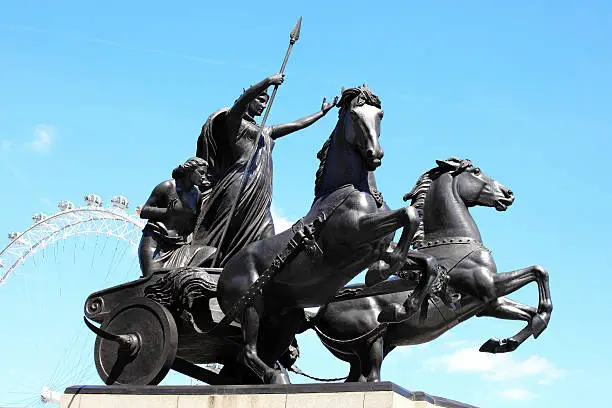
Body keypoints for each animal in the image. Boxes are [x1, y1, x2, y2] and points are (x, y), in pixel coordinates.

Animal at [214, 84, 420, 384]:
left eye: (379, 114)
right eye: (355, 115)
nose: (375, 154)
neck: (350, 189)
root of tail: (223, 274)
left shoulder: (378, 246)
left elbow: (424, 257)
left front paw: (402, 305)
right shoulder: (358, 232)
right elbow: (409, 214)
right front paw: (379, 274)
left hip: (283, 318)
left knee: (251, 356)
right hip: (251, 305)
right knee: (247, 352)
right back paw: (276, 378)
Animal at [308, 159, 552, 382]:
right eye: (475, 171)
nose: (508, 194)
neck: (455, 241)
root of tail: (317, 313)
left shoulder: (489, 303)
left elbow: (529, 310)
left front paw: (502, 343)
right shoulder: (489, 286)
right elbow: (538, 272)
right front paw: (532, 326)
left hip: (371, 350)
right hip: (371, 344)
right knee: (371, 378)